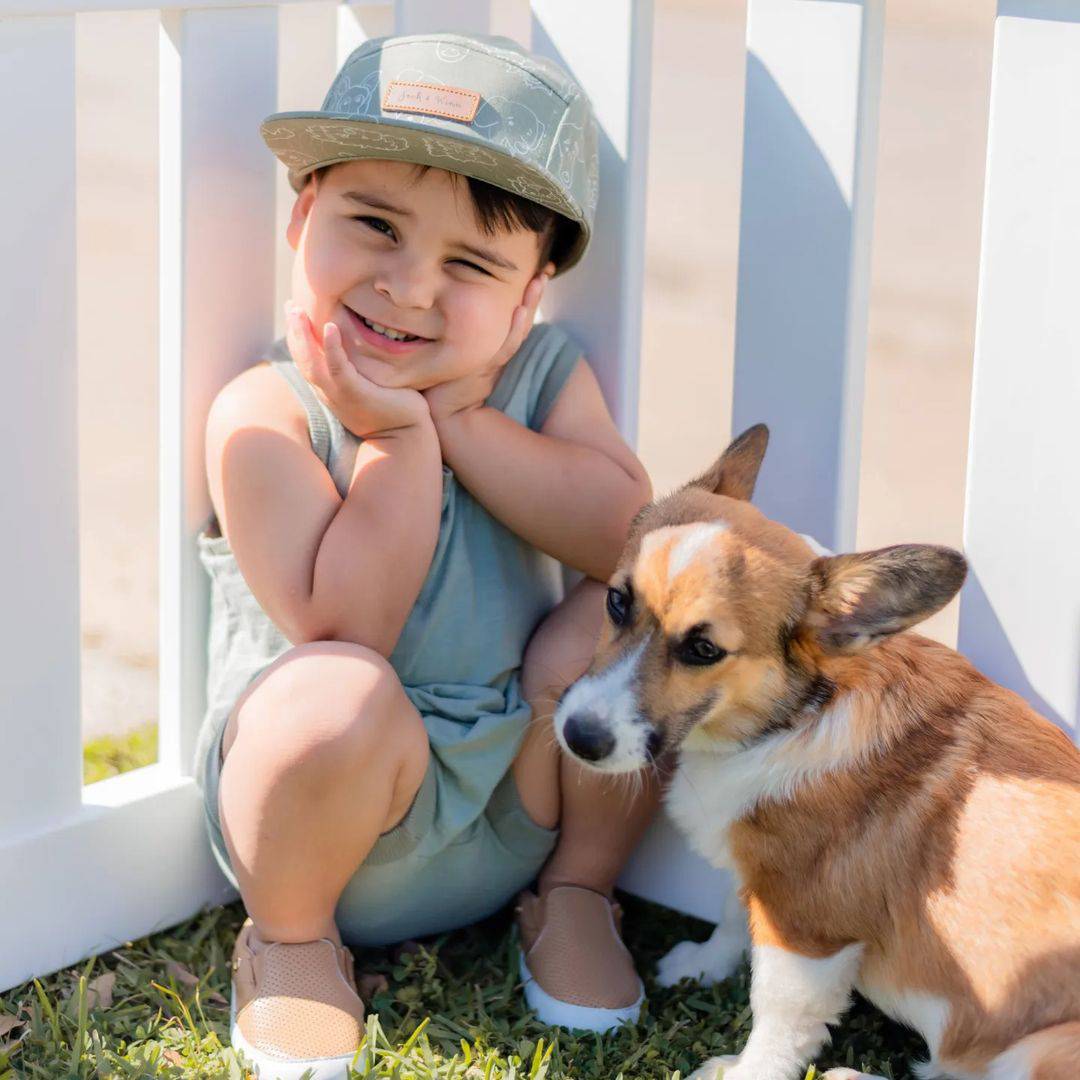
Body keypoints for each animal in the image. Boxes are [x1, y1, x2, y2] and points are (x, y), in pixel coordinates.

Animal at [552, 427, 1075, 1080]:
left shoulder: (806, 928)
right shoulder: (763, 875)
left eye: (703, 649)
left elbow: (778, 1011)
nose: (579, 738)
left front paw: (745, 1071)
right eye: (618, 603)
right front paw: (701, 964)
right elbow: (732, 916)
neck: (796, 718)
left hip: (1044, 1049)